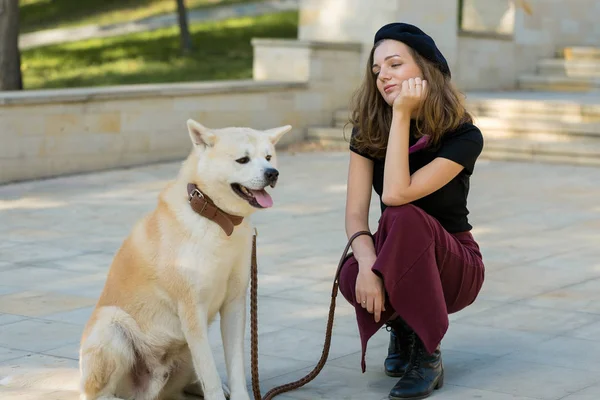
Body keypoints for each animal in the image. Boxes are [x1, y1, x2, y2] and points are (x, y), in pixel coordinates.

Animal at [0, 120, 290, 400]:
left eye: (268, 157)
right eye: (243, 159)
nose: (272, 173)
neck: (217, 222)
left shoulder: (234, 304)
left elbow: (235, 366)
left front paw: (237, 393)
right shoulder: (191, 309)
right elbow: (210, 373)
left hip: (182, 351)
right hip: (112, 326)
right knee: (96, 394)